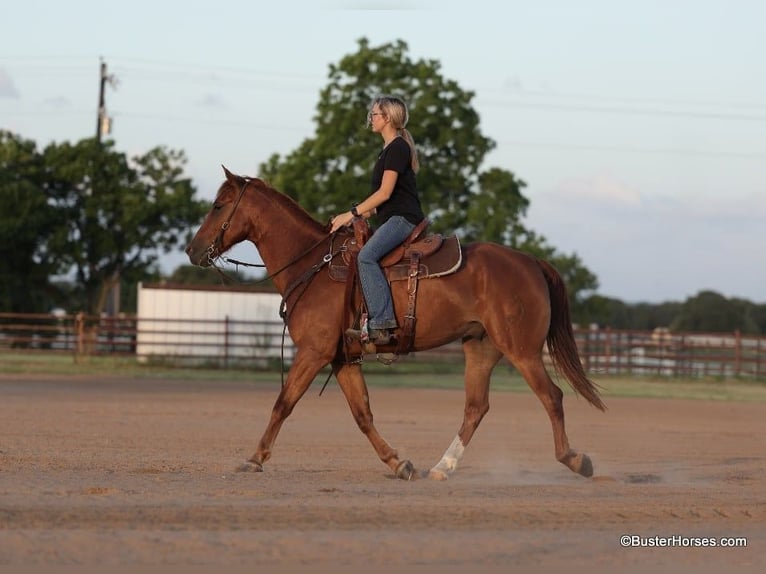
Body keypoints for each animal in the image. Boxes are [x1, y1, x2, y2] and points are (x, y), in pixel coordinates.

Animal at [186, 169, 608, 484]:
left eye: (219, 205)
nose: (192, 250)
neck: (313, 265)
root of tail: (532, 262)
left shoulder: (313, 353)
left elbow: (283, 403)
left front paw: (254, 459)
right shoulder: (342, 359)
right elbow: (362, 414)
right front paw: (399, 463)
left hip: (521, 350)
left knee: (552, 396)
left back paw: (576, 460)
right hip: (481, 347)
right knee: (476, 407)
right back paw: (441, 467)